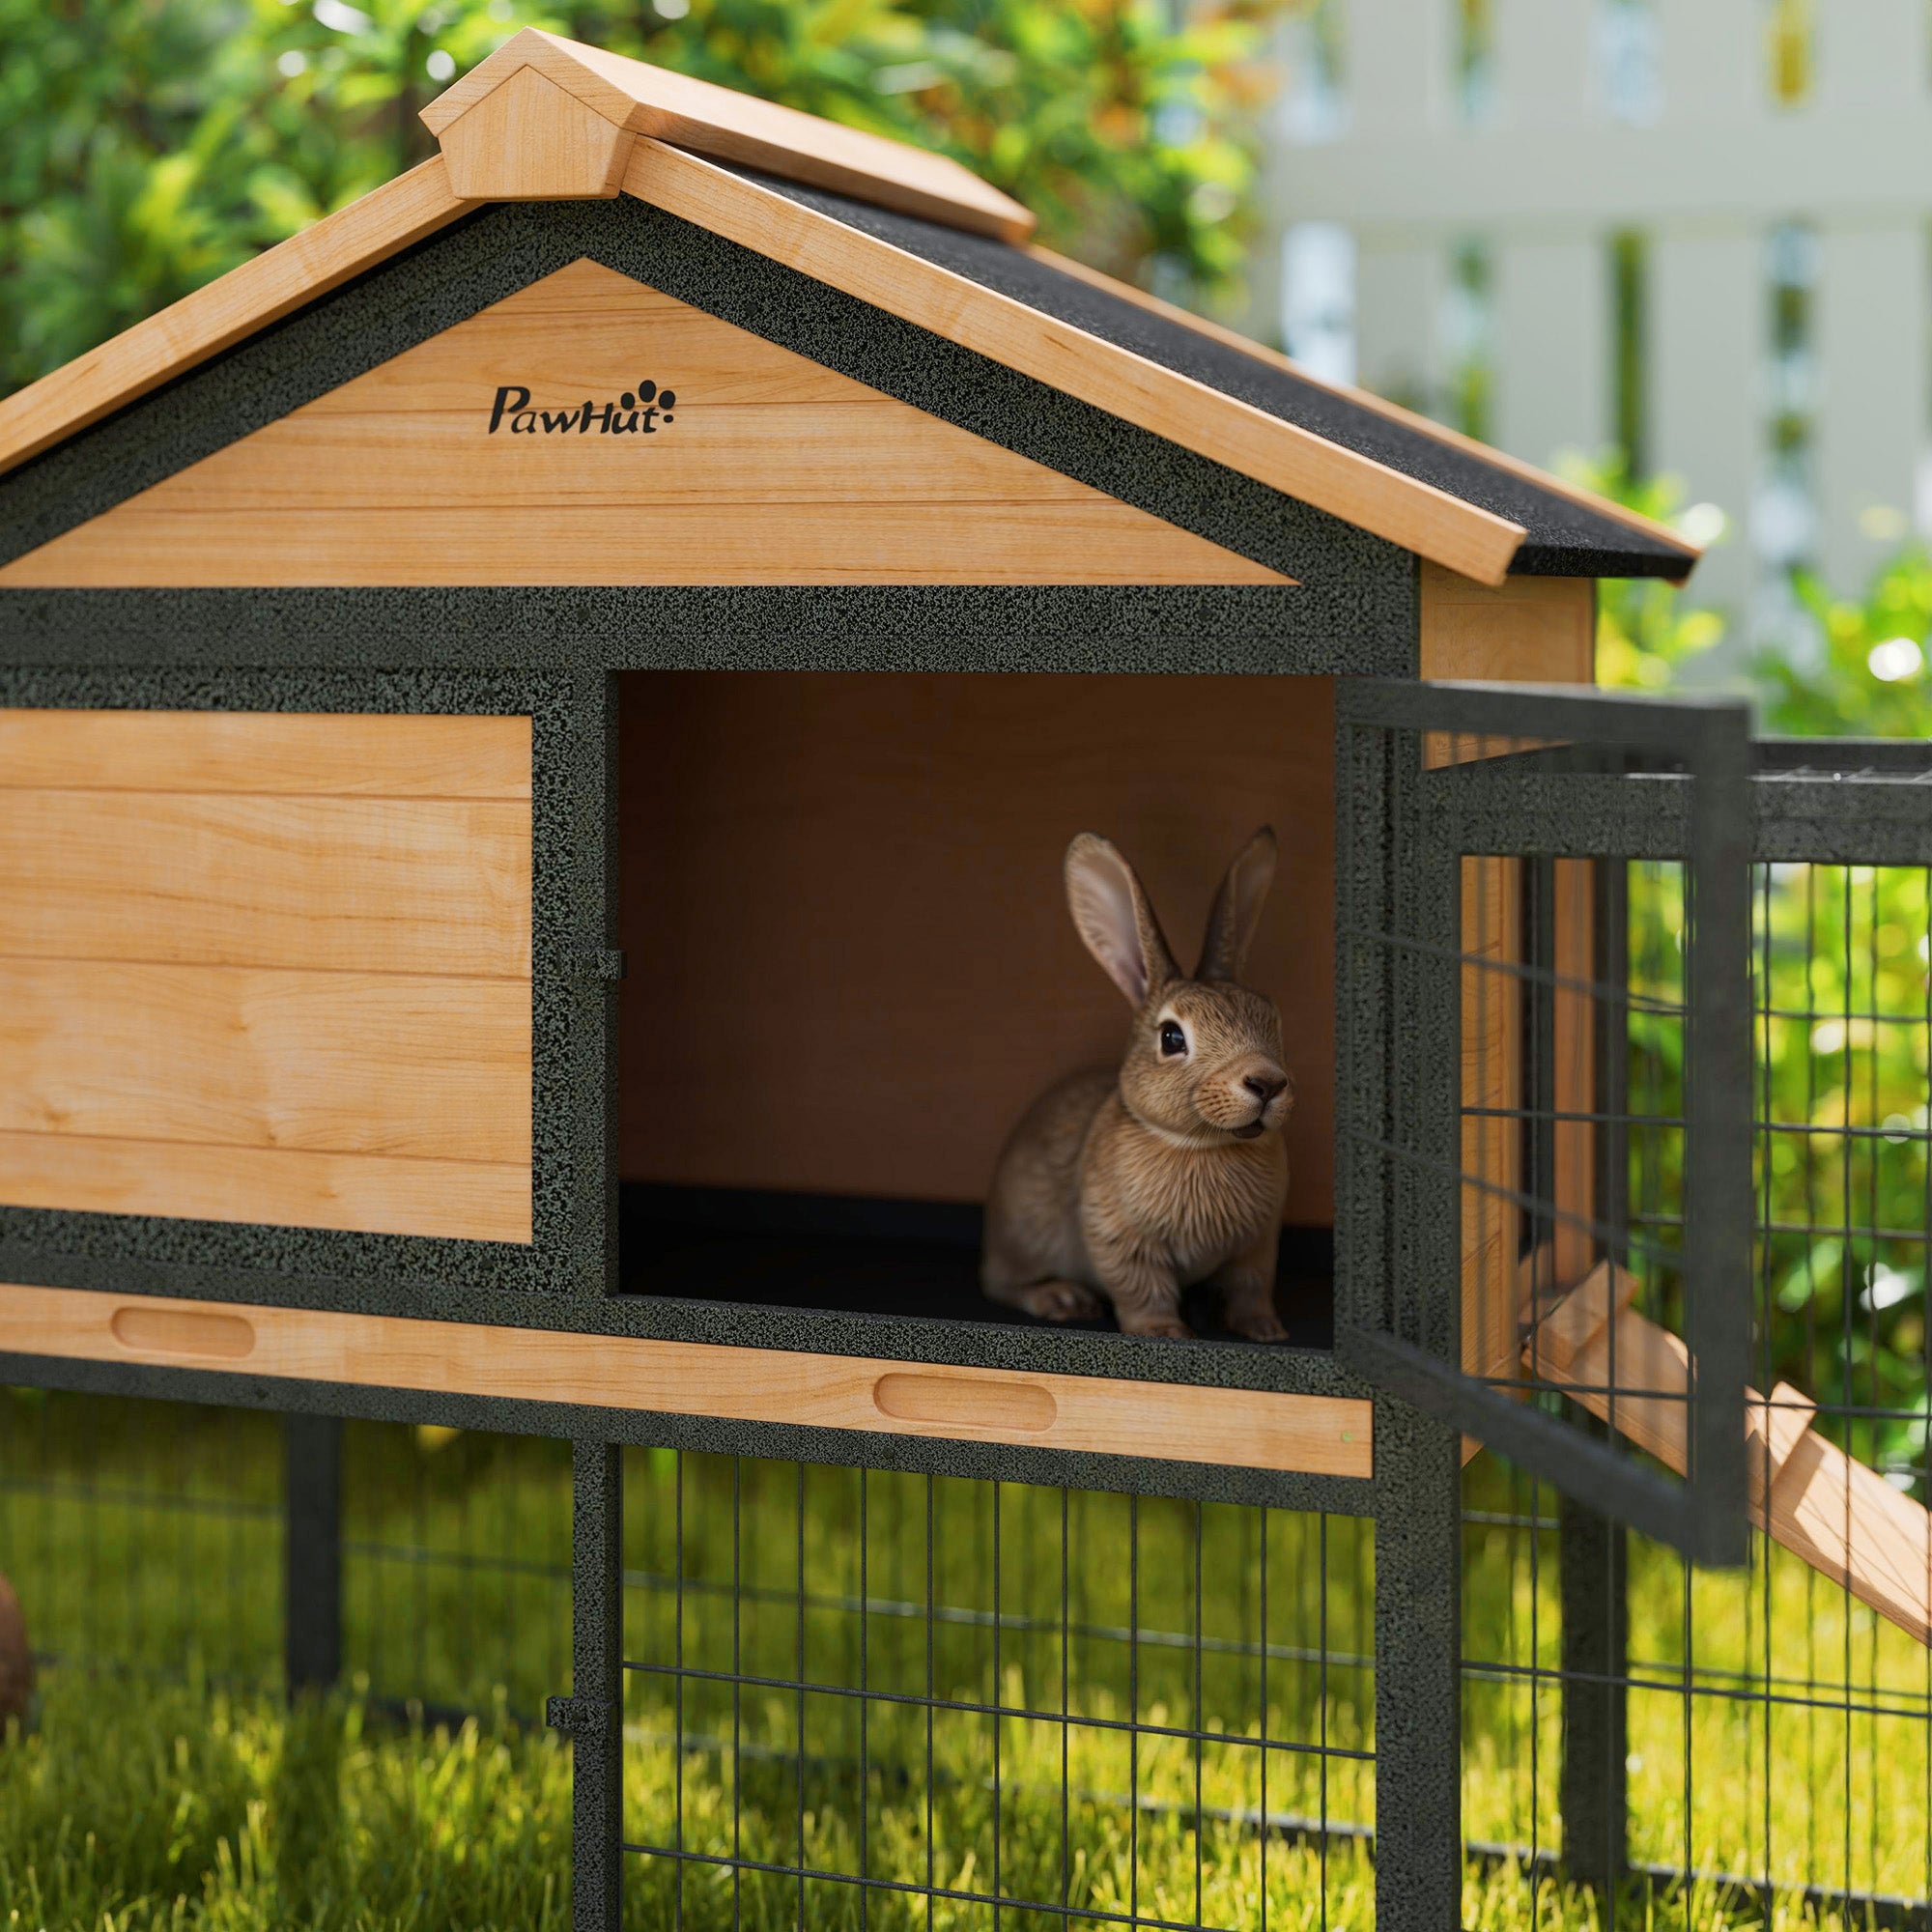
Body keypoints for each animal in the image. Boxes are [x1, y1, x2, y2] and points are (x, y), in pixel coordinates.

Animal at [989, 831, 1291, 1345]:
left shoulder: (1259, 1244)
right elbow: (1142, 1287)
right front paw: (1165, 1332)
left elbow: (1250, 1288)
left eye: (1272, 1019)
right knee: (1001, 1284)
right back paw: (1060, 1298)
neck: (1202, 1145)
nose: (1267, 1082)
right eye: (1172, 1038)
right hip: (1025, 1233)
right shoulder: (1121, 1236)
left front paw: (1265, 1330)